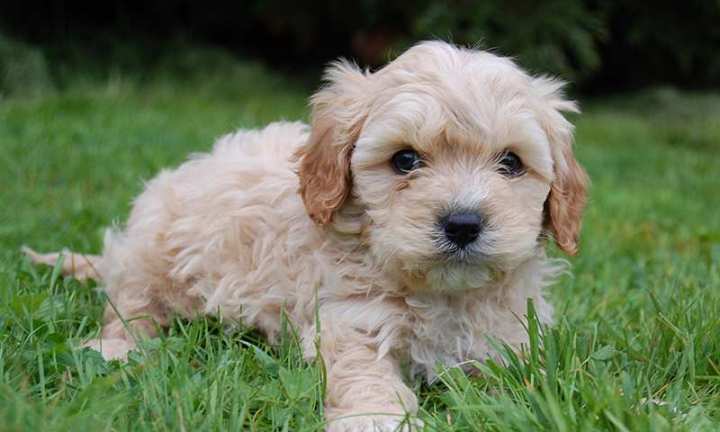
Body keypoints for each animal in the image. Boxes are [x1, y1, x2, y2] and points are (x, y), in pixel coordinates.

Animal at [29, 41, 592, 432]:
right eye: (405, 160)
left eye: (511, 163)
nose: (463, 223)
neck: (441, 294)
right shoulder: (349, 317)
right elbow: (362, 371)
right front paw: (376, 418)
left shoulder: (511, 336)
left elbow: (515, 377)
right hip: (155, 250)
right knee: (131, 306)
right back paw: (113, 348)